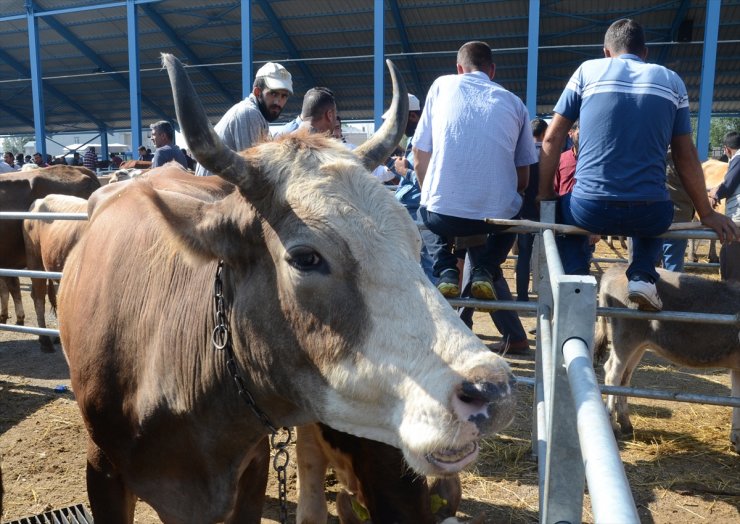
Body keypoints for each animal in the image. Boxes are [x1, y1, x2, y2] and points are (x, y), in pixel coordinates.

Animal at [596, 264, 740, 452]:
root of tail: (616, 269)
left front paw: (736, 439)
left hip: (639, 344)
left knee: (625, 378)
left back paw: (626, 423)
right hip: (625, 337)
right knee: (613, 374)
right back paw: (613, 426)